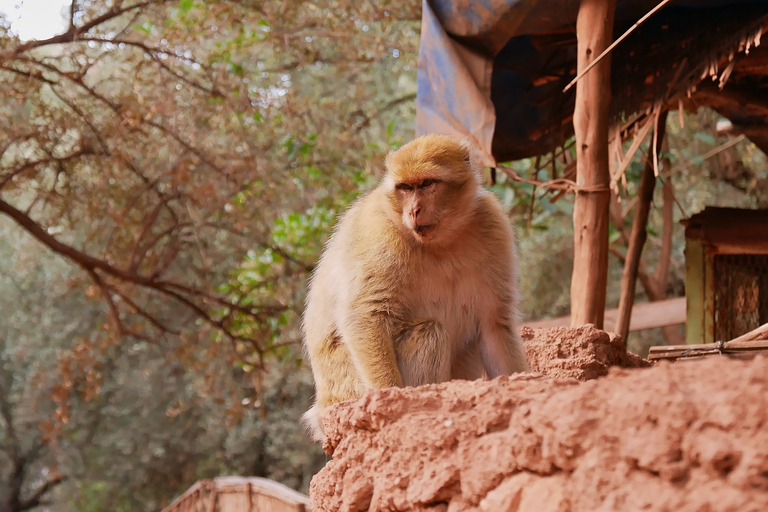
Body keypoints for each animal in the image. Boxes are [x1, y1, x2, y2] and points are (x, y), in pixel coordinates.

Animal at [300, 133, 528, 440]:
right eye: (405, 188)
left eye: (427, 184)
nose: (414, 210)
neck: (442, 241)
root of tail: (321, 409)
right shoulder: (379, 232)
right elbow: (366, 313)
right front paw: (388, 399)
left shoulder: (493, 225)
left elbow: (494, 324)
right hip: (348, 389)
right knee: (429, 332)